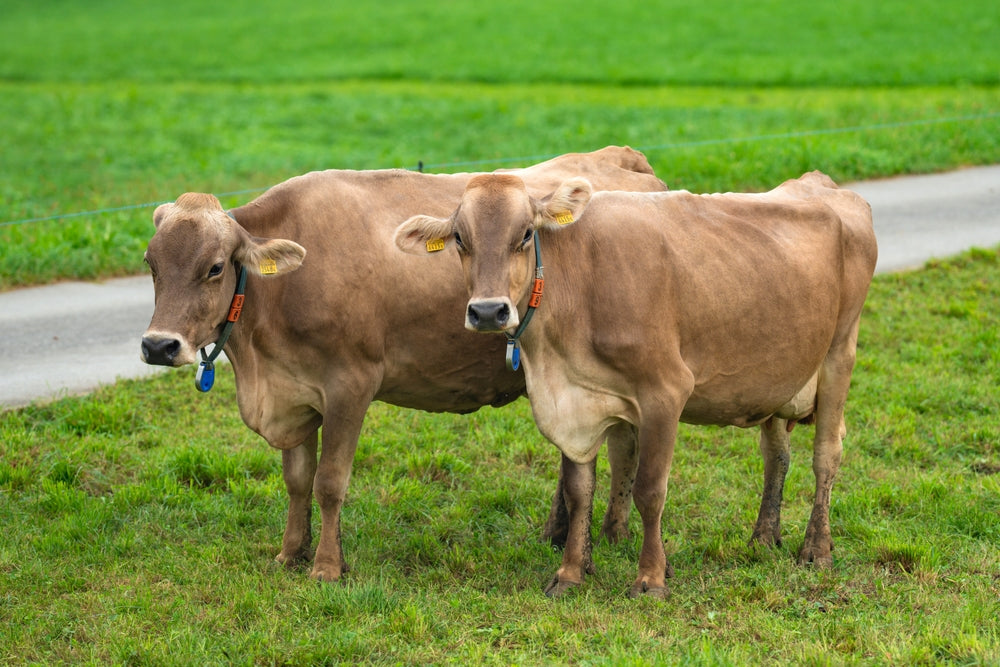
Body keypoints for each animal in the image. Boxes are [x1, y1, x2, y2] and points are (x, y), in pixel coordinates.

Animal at [140, 146, 668, 582]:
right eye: (151, 264)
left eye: (214, 267)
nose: (159, 345)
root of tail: (620, 157)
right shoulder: (294, 392)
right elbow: (296, 481)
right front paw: (290, 553)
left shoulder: (350, 384)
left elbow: (329, 482)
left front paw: (326, 567)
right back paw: (572, 535)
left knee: (617, 448)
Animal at [394, 171, 878, 598]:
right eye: (460, 238)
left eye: (527, 234)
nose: (488, 311)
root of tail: (822, 185)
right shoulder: (577, 402)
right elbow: (578, 492)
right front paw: (570, 574)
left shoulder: (666, 391)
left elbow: (650, 491)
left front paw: (651, 579)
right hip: (778, 375)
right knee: (776, 456)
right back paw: (763, 537)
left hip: (839, 354)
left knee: (826, 456)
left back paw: (816, 549)